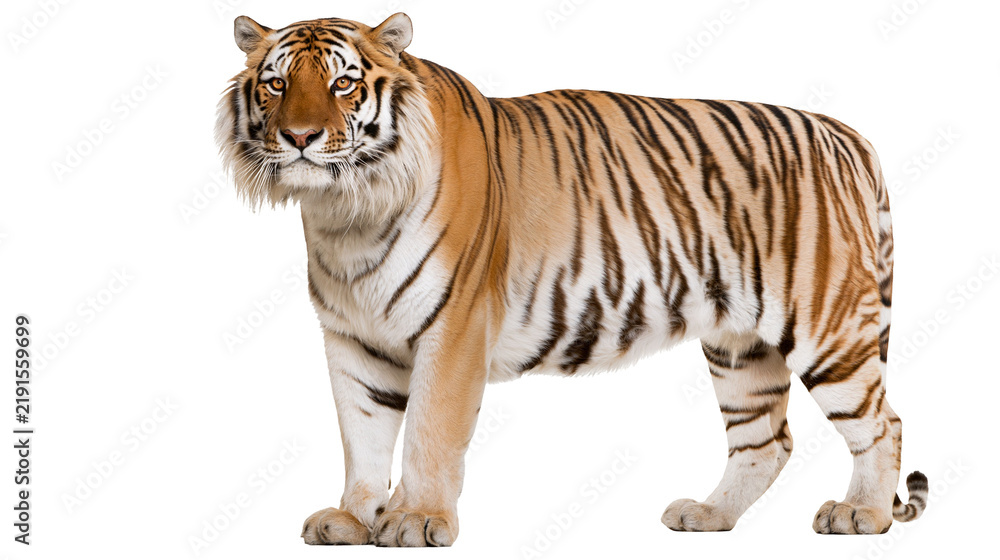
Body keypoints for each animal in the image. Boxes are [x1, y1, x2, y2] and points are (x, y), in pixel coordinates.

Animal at [216, 12, 929, 547]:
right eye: (276, 84)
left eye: (343, 84)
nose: (300, 137)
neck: (345, 211)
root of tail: (848, 135)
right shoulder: (352, 339)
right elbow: (361, 434)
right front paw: (352, 518)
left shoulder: (454, 327)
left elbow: (427, 431)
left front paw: (416, 520)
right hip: (738, 345)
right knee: (766, 441)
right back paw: (708, 515)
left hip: (827, 323)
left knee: (882, 422)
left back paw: (863, 515)